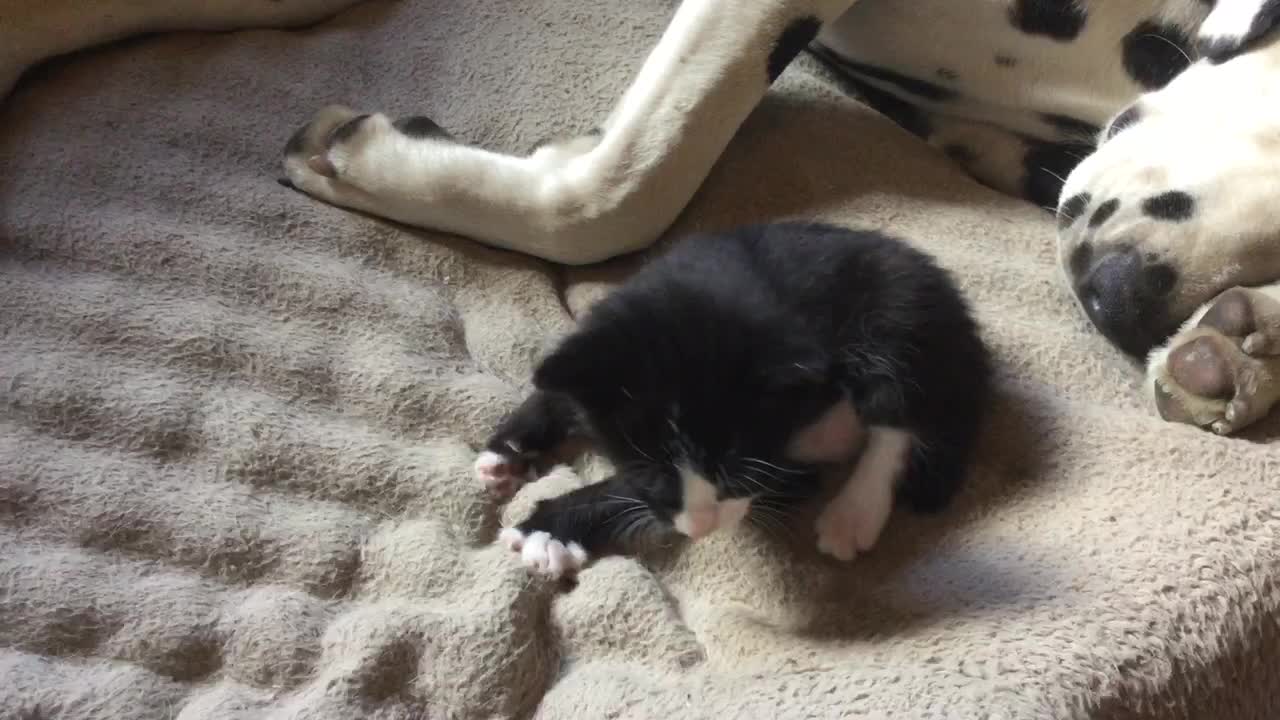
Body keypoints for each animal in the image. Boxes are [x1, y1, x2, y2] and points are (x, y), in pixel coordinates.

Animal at [476, 221, 993, 579]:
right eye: (647, 468)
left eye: (740, 471)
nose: (701, 529)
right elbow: (564, 388)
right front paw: (508, 448)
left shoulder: (787, 455)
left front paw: (549, 527)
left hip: (900, 313)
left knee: (899, 415)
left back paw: (852, 513)